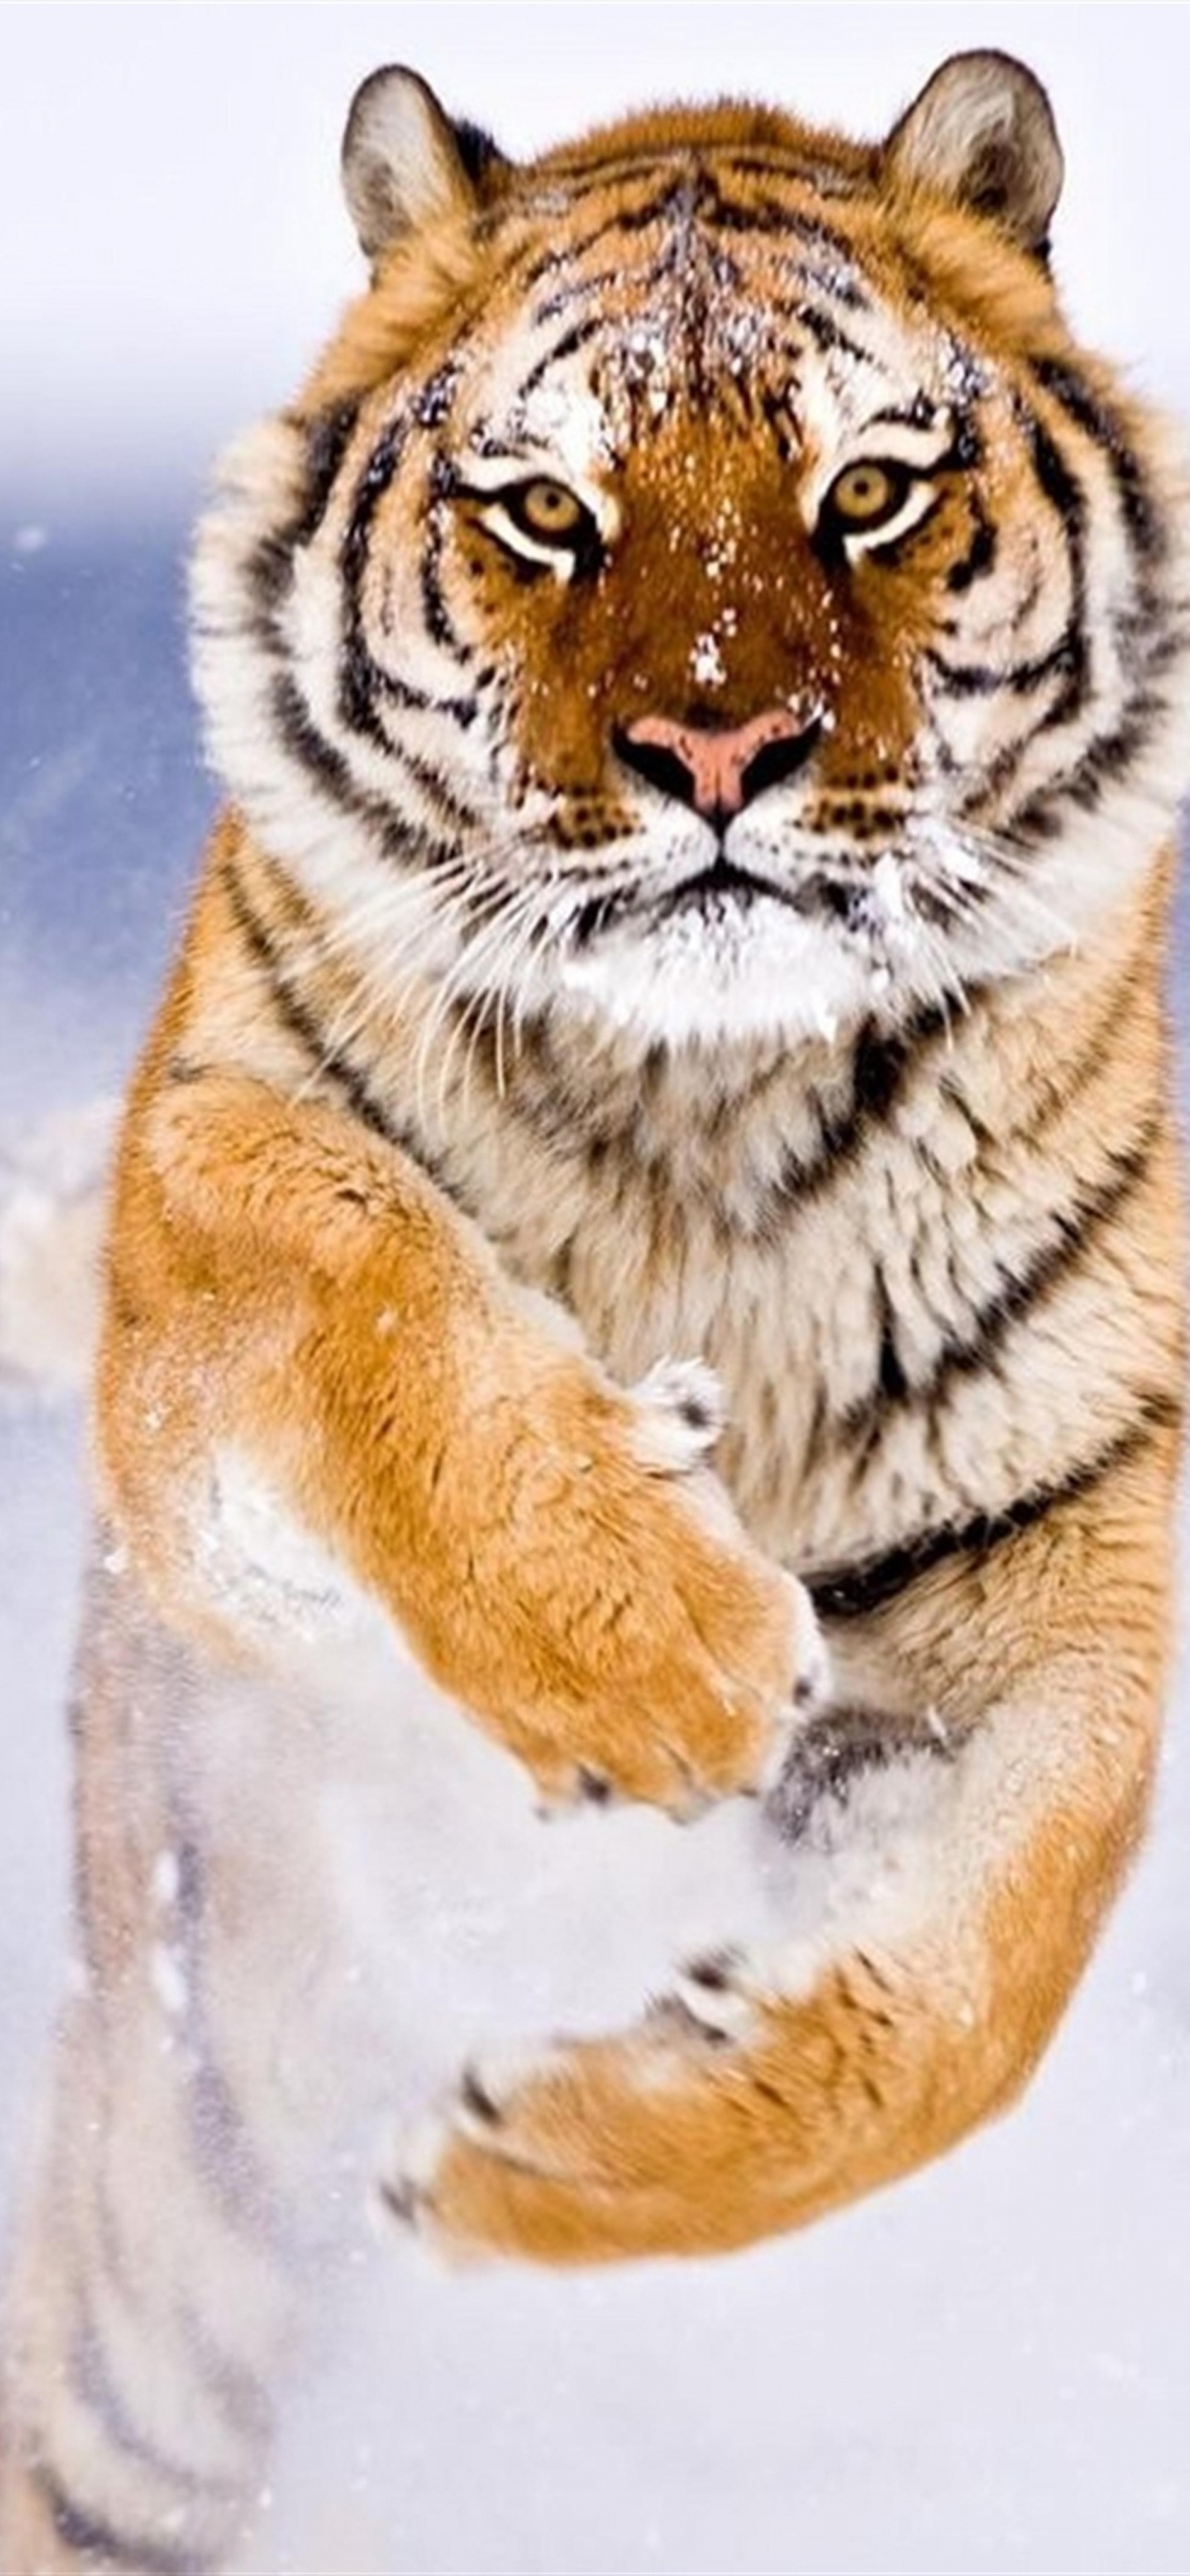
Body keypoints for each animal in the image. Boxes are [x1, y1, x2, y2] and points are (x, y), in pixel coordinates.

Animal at [2, 44, 1187, 2576]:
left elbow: (976, 1995)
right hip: (161, 2302)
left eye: (868, 489)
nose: (720, 752)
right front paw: (661, 1652)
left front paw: (543, 2158)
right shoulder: (199, 1247)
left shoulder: (1061, 1557)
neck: (704, 1111)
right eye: (545, 510)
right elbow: (358, 1259)